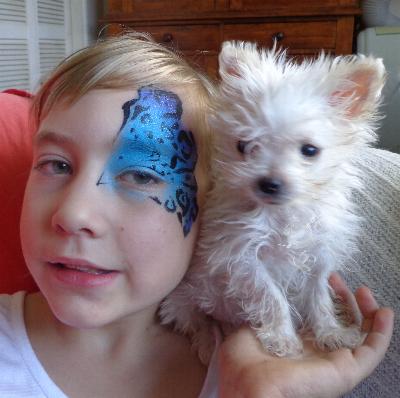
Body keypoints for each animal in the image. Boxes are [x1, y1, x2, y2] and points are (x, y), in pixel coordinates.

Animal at [161, 42, 386, 360]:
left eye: (310, 150)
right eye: (243, 146)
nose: (268, 183)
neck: (284, 215)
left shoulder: (319, 257)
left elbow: (318, 297)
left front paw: (330, 332)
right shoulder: (243, 258)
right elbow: (272, 297)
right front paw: (282, 338)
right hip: (182, 300)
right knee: (197, 321)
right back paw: (207, 343)